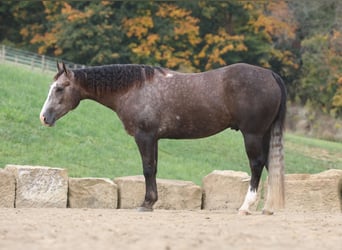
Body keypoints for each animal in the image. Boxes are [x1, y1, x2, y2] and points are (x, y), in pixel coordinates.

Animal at [39, 61, 286, 214]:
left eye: (59, 89)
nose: (44, 117)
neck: (135, 89)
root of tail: (270, 74)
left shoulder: (145, 136)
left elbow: (148, 168)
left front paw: (146, 203)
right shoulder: (154, 139)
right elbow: (154, 168)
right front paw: (151, 202)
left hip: (252, 135)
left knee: (256, 165)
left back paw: (246, 207)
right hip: (264, 135)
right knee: (268, 165)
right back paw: (268, 208)